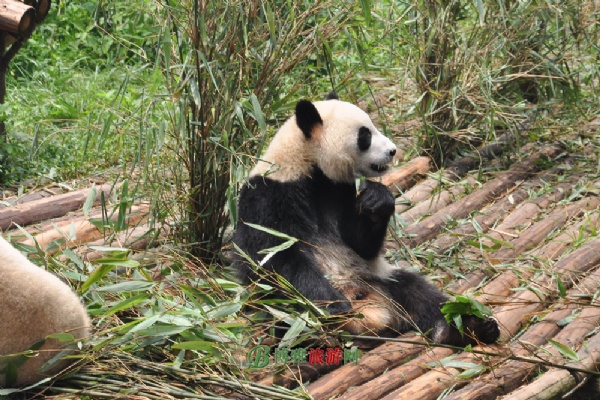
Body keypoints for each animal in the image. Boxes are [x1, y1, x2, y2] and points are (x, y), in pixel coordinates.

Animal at [232, 92, 500, 346]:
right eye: (365, 136)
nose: (392, 151)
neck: (307, 166)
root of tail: (371, 316)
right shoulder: (267, 197)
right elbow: (276, 258)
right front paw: (334, 305)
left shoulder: (339, 191)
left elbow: (360, 243)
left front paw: (376, 200)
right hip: (280, 307)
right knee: (289, 316)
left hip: (378, 278)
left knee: (420, 293)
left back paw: (467, 328)